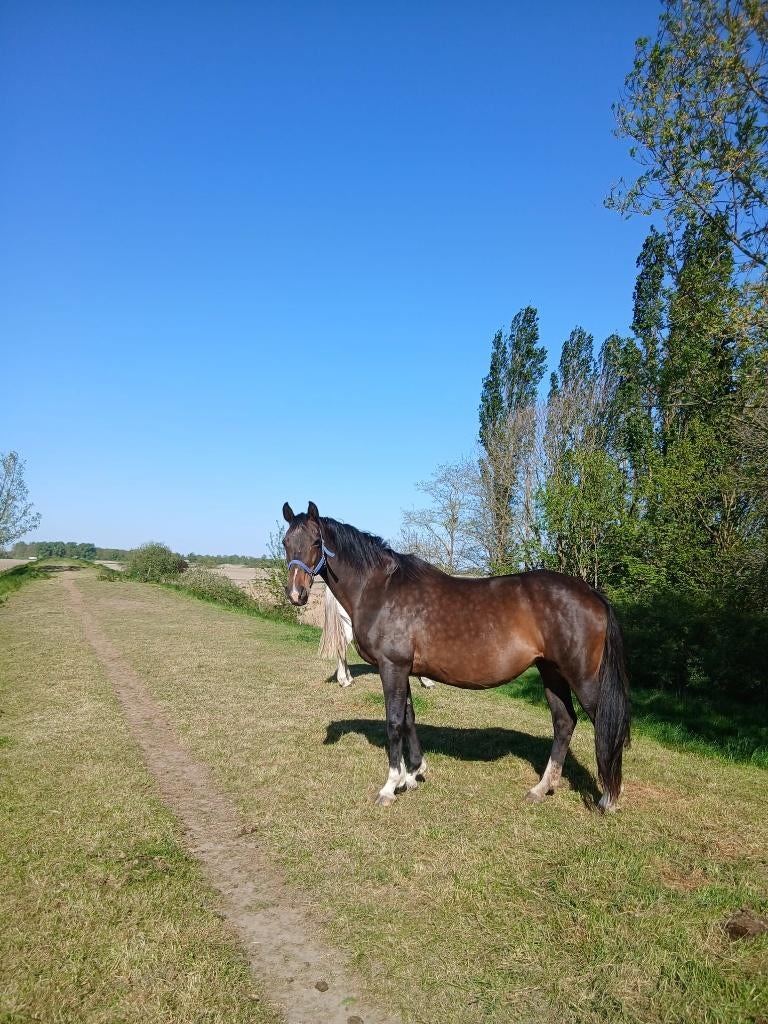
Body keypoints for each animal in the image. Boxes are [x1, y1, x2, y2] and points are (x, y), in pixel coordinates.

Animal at [282, 501, 630, 812]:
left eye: (316, 541)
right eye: (286, 543)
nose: (297, 594)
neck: (381, 589)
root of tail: (593, 595)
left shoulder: (392, 666)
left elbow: (394, 722)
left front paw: (390, 786)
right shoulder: (403, 669)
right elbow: (409, 719)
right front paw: (414, 774)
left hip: (582, 678)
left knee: (603, 726)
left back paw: (608, 798)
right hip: (551, 671)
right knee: (564, 722)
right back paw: (542, 788)